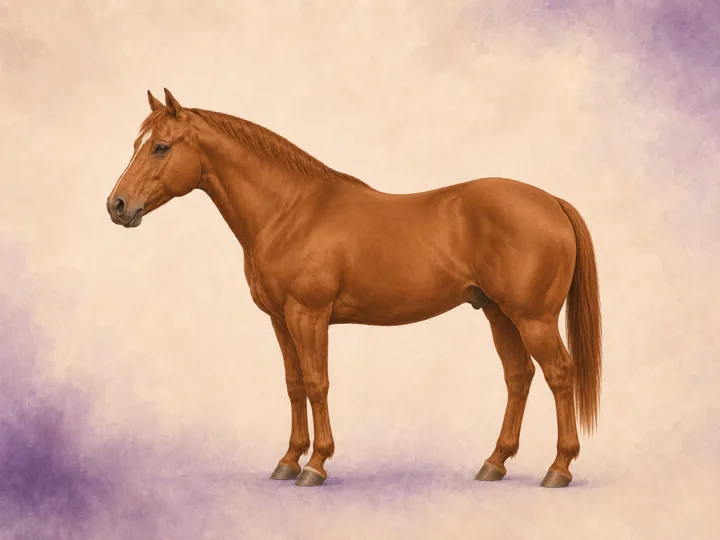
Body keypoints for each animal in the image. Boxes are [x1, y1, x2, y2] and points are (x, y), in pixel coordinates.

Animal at [106, 88, 602, 488]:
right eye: (136, 145)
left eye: (161, 147)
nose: (117, 205)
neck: (290, 211)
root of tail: (552, 202)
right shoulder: (280, 320)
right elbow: (293, 385)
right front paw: (288, 460)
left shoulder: (308, 314)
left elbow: (317, 383)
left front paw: (315, 465)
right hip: (500, 313)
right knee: (519, 377)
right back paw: (494, 463)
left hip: (533, 318)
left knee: (560, 374)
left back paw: (558, 469)